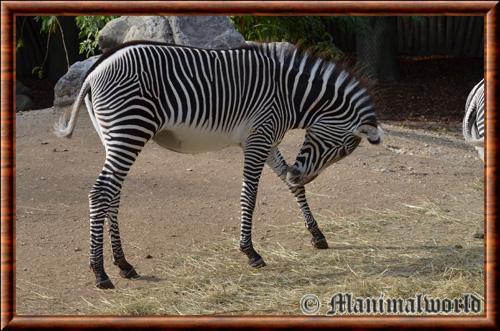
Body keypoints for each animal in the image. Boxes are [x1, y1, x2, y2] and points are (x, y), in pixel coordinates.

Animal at [55, 40, 382, 290]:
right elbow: (249, 195)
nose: (300, 176)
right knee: (100, 193)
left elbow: (290, 187)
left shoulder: (267, 140)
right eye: (342, 149)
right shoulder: (258, 138)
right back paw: (100, 272)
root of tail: (95, 70)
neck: (290, 95)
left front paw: (317, 235)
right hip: (129, 130)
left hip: (114, 137)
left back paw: (123, 264)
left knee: (113, 194)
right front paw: (250, 252)